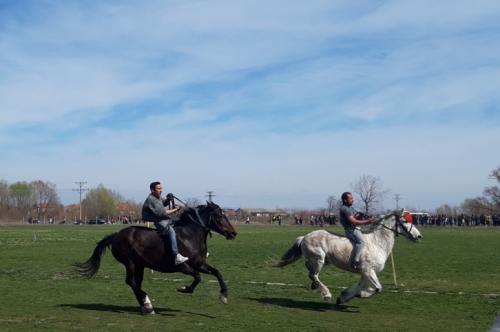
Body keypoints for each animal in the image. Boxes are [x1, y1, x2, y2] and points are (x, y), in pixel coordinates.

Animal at [74, 201, 238, 316]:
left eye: (225, 214)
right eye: (219, 216)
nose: (233, 233)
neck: (189, 236)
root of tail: (116, 236)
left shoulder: (199, 264)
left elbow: (217, 273)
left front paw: (224, 295)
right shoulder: (183, 266)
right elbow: (197, 277)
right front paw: (184, 288)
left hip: (139, 265)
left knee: (136, 283)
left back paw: (146, 307)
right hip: (130, 262)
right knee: (131, 281)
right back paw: (147, 303)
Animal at [270, 209, 422, 304]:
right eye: (406, 221)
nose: (419, 237)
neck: (377, 243)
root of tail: (304, 237)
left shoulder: (366, 273)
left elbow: (362, 286)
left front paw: (345, 297)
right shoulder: (368, 271)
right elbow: (378, 288)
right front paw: (359, 295)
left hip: (323, 260)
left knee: (309, 268)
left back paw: (315, 285)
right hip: (319, 259)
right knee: (313, 274)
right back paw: (327, 294)